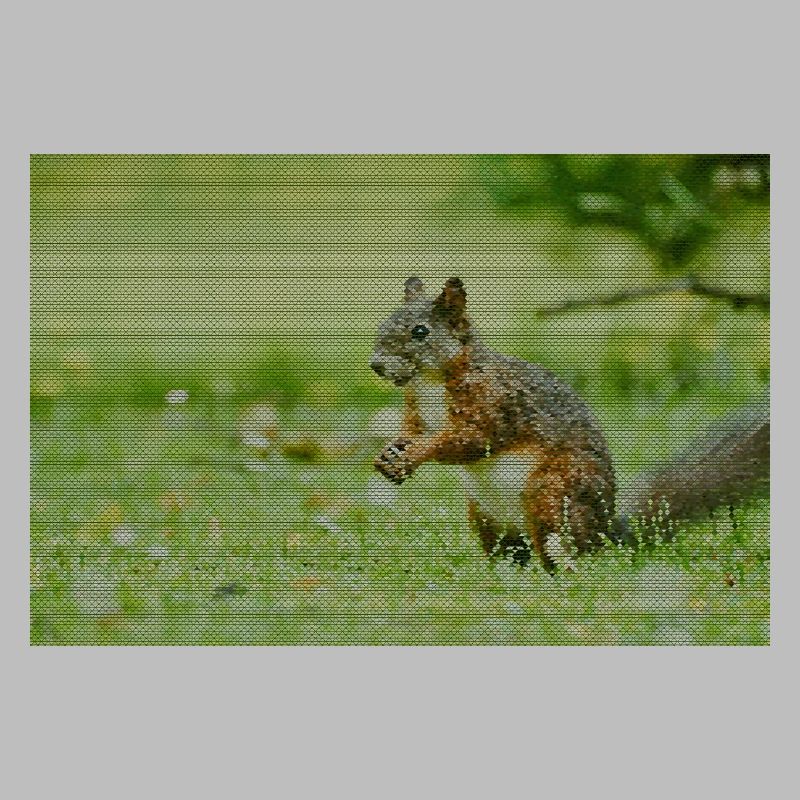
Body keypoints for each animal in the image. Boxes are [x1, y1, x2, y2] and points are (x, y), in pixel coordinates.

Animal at [370, 277, 769, 570]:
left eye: (420, 332)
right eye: (384, 322)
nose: (376, 365)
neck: (431, 381)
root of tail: (607, 529)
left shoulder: (497, 402)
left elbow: (471, 439)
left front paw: (416, 453)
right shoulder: (417, 410)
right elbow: (412, 430)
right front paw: (391, 452)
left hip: (553, 492)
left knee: (568, 547)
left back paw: (561, 572)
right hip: (485, 516)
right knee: (513, 553)